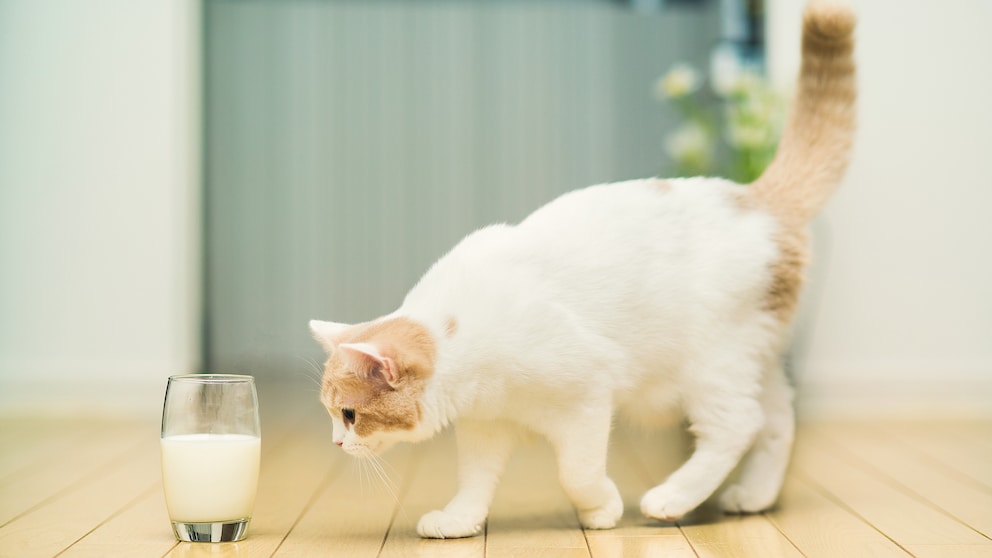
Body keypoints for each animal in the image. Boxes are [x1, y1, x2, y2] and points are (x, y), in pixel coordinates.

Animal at [308, 0, 852, 544]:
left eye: (350, 415)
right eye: (332, 415)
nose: (335, 443)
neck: (462, 337)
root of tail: (756, 197)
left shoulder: (587, 399)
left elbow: (577, 471)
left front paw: (601, 510)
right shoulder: (486, 425)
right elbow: (475, 480)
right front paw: (460, 519)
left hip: (713, 365)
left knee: (737, 425)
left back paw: (671, 499)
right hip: (754, 361)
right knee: (776, 421)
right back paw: (753, 496)